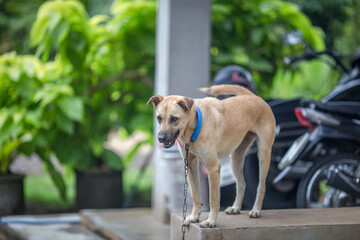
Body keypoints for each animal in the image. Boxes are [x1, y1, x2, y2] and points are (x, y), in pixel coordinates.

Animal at [148, 85, 274, 228]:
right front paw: (194, 217)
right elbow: (195, 195)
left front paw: (210, 221)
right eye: (159, 118)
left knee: (261, 186)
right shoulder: (191, 165)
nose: (161, 138)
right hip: (235, 159)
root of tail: (254, 97)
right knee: (241, 183)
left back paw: (256, 210)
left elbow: (213, 199)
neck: (195, 125)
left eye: (174, 118)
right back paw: (235, 208)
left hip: (263, 155)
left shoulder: (213, 168)